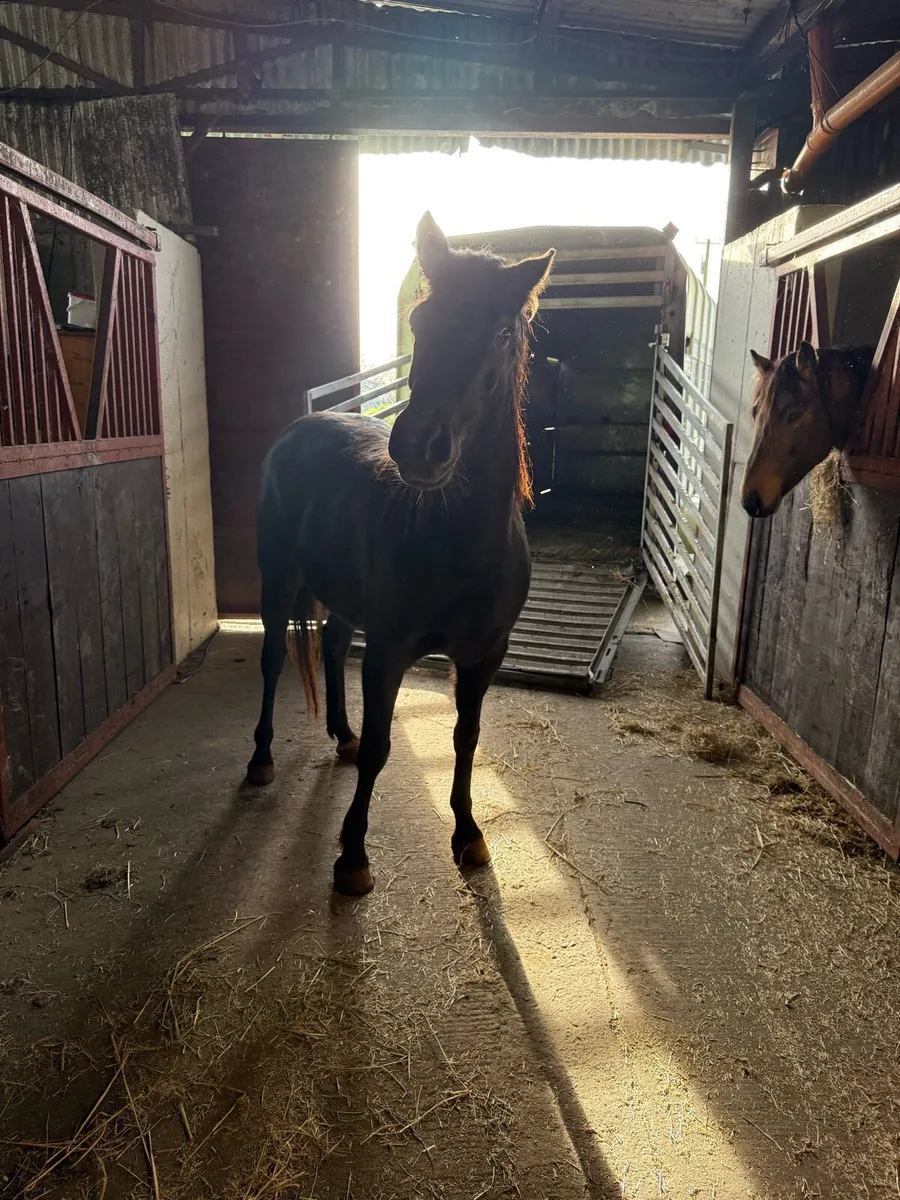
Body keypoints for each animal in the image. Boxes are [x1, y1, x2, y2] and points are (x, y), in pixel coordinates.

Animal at [246, 212, 555, 896]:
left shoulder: (484, 656)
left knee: (333, 645)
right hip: (278, 579)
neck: (460, 547)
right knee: (275, 659)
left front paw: (468, 833)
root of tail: (297, 431)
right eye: (421, 322)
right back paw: (260, 759)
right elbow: (384, 746)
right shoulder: (389, 651)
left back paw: (340, 734)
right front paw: (353, 856)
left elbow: (466, 737)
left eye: (501, 332)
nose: (420, 447)